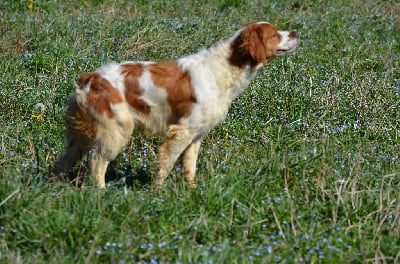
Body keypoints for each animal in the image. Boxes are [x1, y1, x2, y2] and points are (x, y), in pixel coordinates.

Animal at [52, 21, 296, 189]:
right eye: (275, 34)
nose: (296, 33)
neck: (224, 67)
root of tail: (90, 78)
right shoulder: (181, 131)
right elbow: (165, 165)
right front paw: (156, 194)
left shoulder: (195, 135)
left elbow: (189, 167)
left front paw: (193, 191)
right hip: (116, 131)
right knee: (97, 163)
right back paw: (102, 193)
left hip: (79, 137)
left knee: (62, 162)